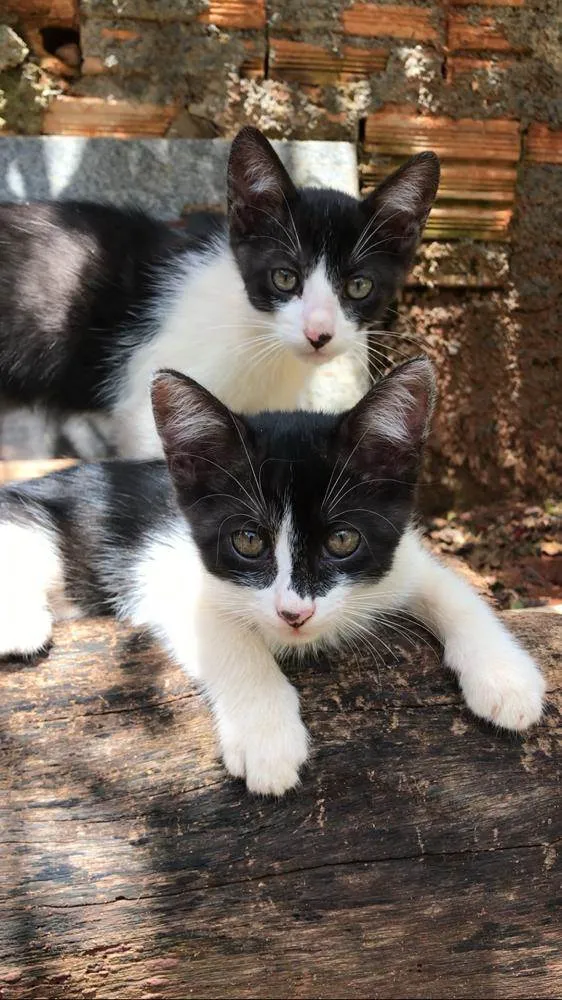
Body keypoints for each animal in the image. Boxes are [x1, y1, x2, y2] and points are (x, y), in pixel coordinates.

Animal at [0, 360, 544, 796]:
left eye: (342, 540)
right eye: (248, 541)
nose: (294, 612)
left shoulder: (400, 557)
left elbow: (450, 588)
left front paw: (506, 678)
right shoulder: (162, 564)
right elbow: (226, 634)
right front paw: (267, 737)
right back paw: (20, 620)